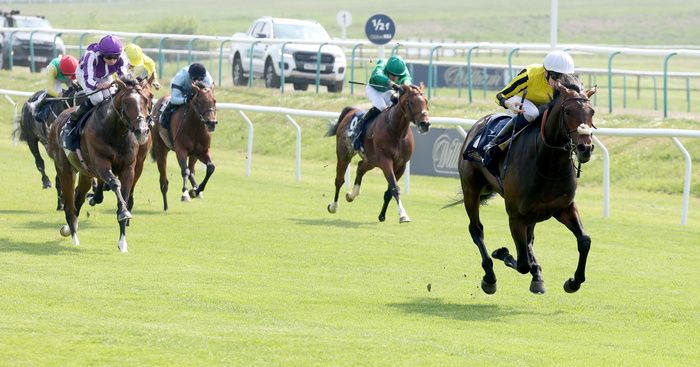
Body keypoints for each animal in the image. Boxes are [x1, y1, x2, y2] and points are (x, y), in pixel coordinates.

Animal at [47, 75, 154, 253]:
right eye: (127, 102)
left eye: (147, 99)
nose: (142, 130)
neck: (116, 131)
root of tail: (57, 121)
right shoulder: (101, 164)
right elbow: (115, 183)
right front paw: (124, 213)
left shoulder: (129, 169)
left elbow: (124, 196)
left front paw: (123, 242)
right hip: (65, 169)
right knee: (69, 206)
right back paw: (74, 237)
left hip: (85, 174)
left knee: (78, 199)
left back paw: (69, 228)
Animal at [326, 85, 430, 223]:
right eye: (411, 102)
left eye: (426, 101)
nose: (425, 124)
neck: (396, 131)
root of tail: (350, 112)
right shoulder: (386, 161)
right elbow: (394, 187)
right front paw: (403, 215)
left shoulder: (401, 165)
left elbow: (389, 191)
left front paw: (382, 215)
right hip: (344, 154)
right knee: (339, 180)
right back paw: (333, 206)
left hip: (371, 160)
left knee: (360, 167)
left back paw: (351, 195)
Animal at [460, 75, 596, 296]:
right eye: (568, 111)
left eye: (592, 111)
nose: (586, 148)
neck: (548, 164)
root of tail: (479, 123)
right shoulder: (516, 215)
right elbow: (523, 263)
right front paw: (503, 253)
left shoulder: (564, 207)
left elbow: (584, 240)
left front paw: (573, 281)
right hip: (470, 188)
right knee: (476, 229)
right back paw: (490, 276)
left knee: (529, 239)